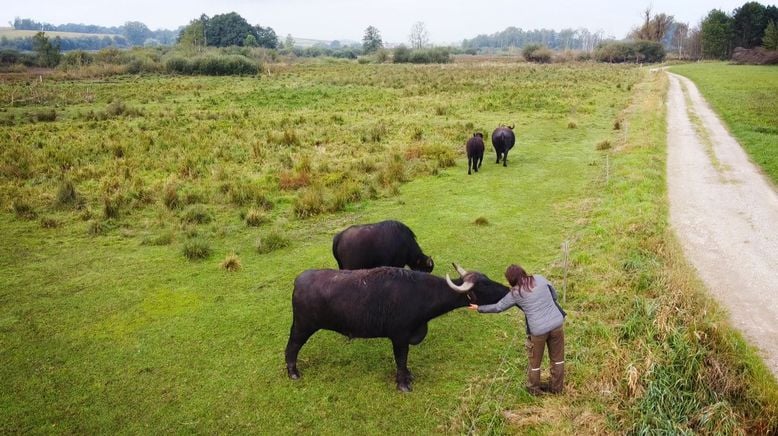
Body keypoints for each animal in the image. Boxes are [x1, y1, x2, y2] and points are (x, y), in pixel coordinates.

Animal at [284, 264, 510, 390]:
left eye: (487, 278)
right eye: (484, 284)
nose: (507, 289)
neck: (421, 293)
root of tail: (299, 280)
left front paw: (408, 376)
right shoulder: (400, 337)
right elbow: (401, 360)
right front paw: (403, 384)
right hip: (302, 327)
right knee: (291, 348)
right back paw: (293, 373)